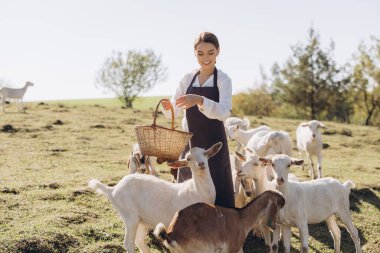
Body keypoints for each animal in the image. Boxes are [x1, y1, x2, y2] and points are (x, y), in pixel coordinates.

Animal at [87, 142, 221, 253]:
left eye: (205, 153)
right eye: (188, 158)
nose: (201, 164)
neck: (196, 191)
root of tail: (112, 189)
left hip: (142, 220)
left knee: (139, 240)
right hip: (129, 216)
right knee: (129, 242)